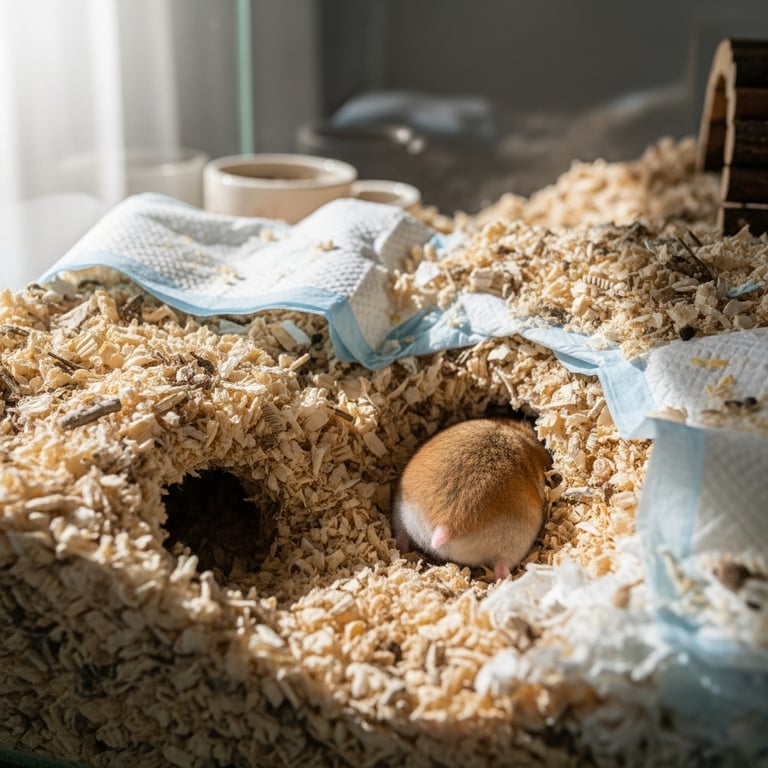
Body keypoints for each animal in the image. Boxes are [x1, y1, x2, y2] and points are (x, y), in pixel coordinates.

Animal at [392, 417, 551, 579]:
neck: (517, 434)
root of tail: (444, 524)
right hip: (514, 542)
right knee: (502, 567)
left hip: (402, 510)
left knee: (402, 537)